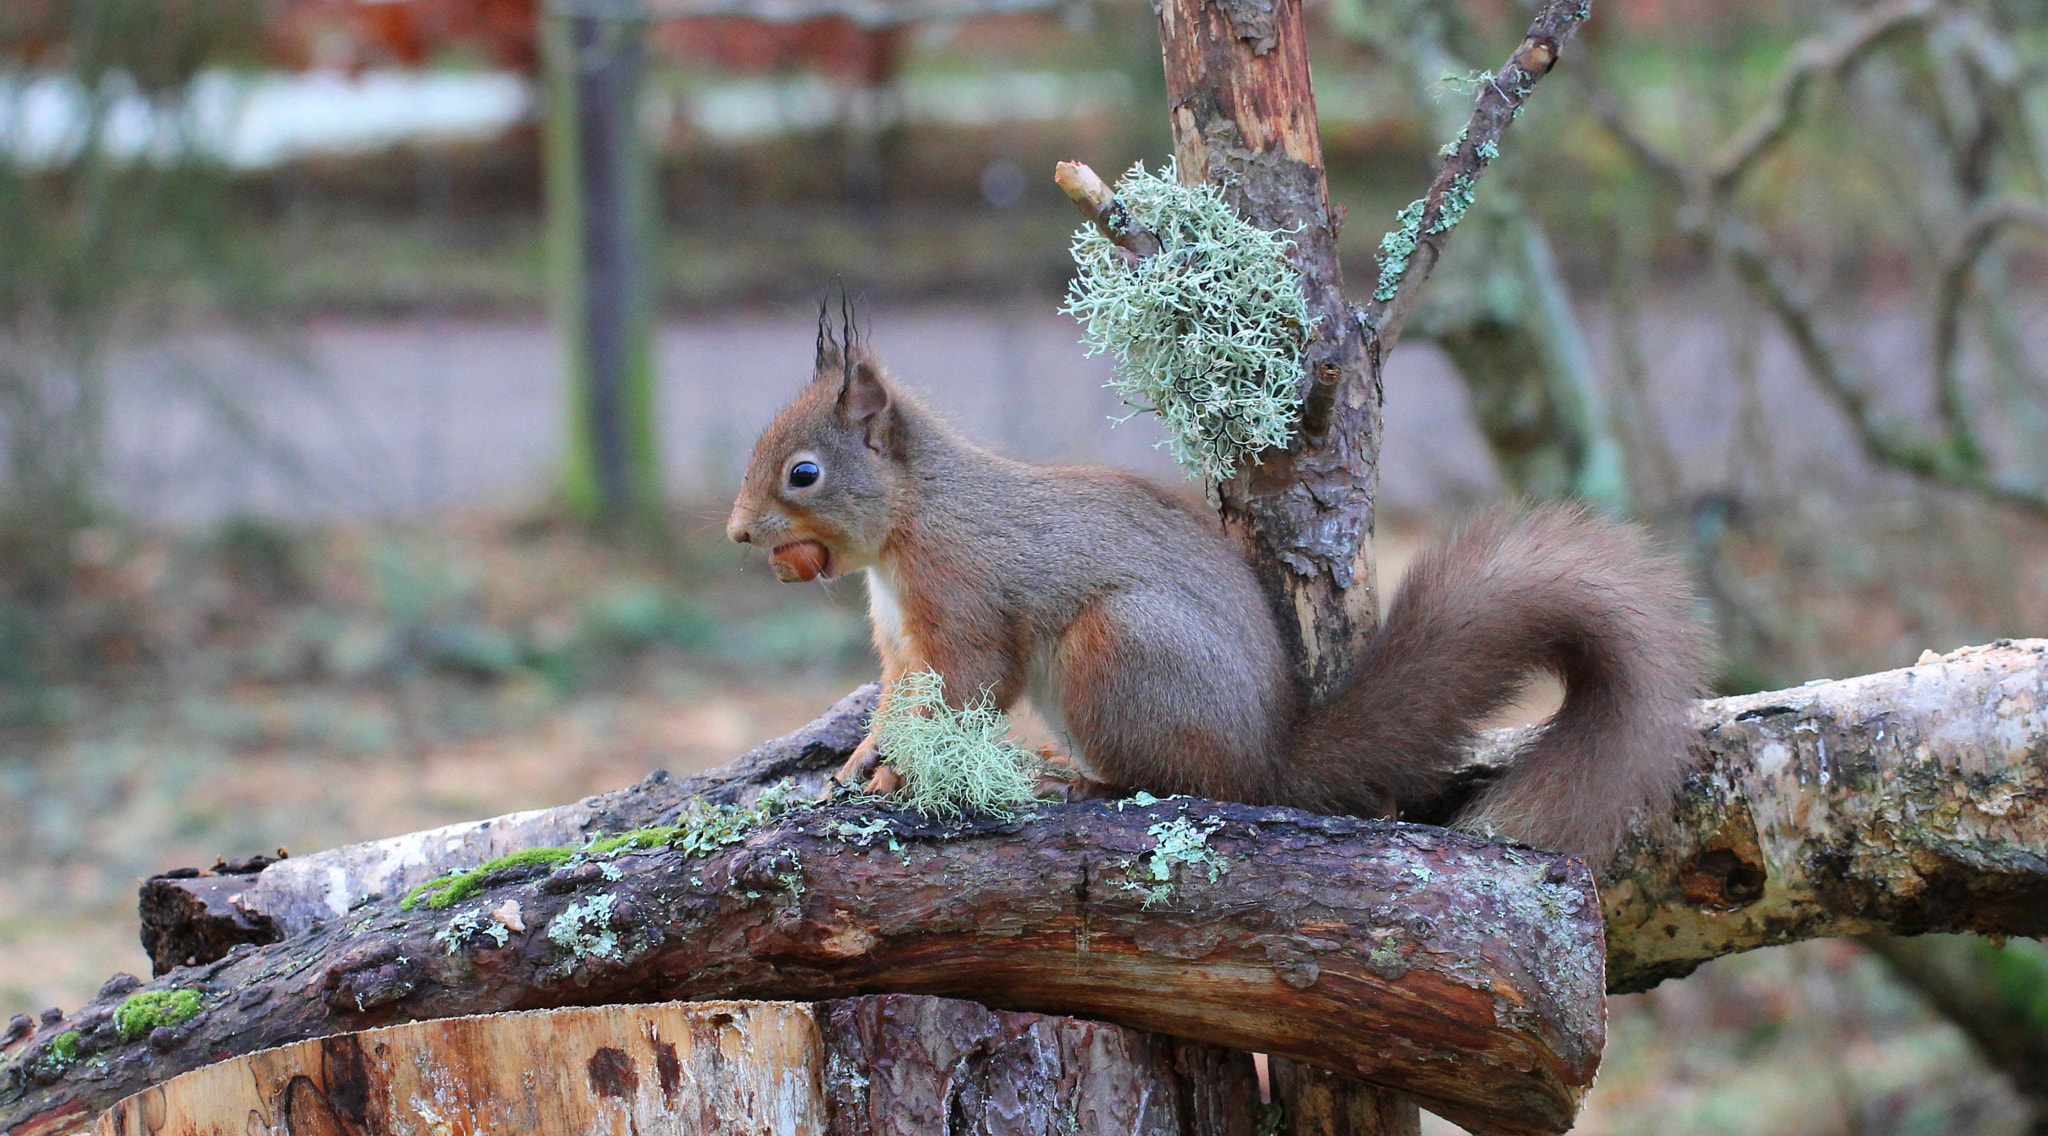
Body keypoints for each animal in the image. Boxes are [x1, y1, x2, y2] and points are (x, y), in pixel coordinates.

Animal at [726, 317, 1709, 868]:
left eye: (804, 473)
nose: (737, 534)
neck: (912, 519)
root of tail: (1268, 756)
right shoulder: (901, 639)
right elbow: (900, 697)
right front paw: (863, 763)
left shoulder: (963, 601)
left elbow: (965, 688)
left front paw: (899, 770)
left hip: (1117, 650)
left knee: (1181, 781)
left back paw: (1079, 782)